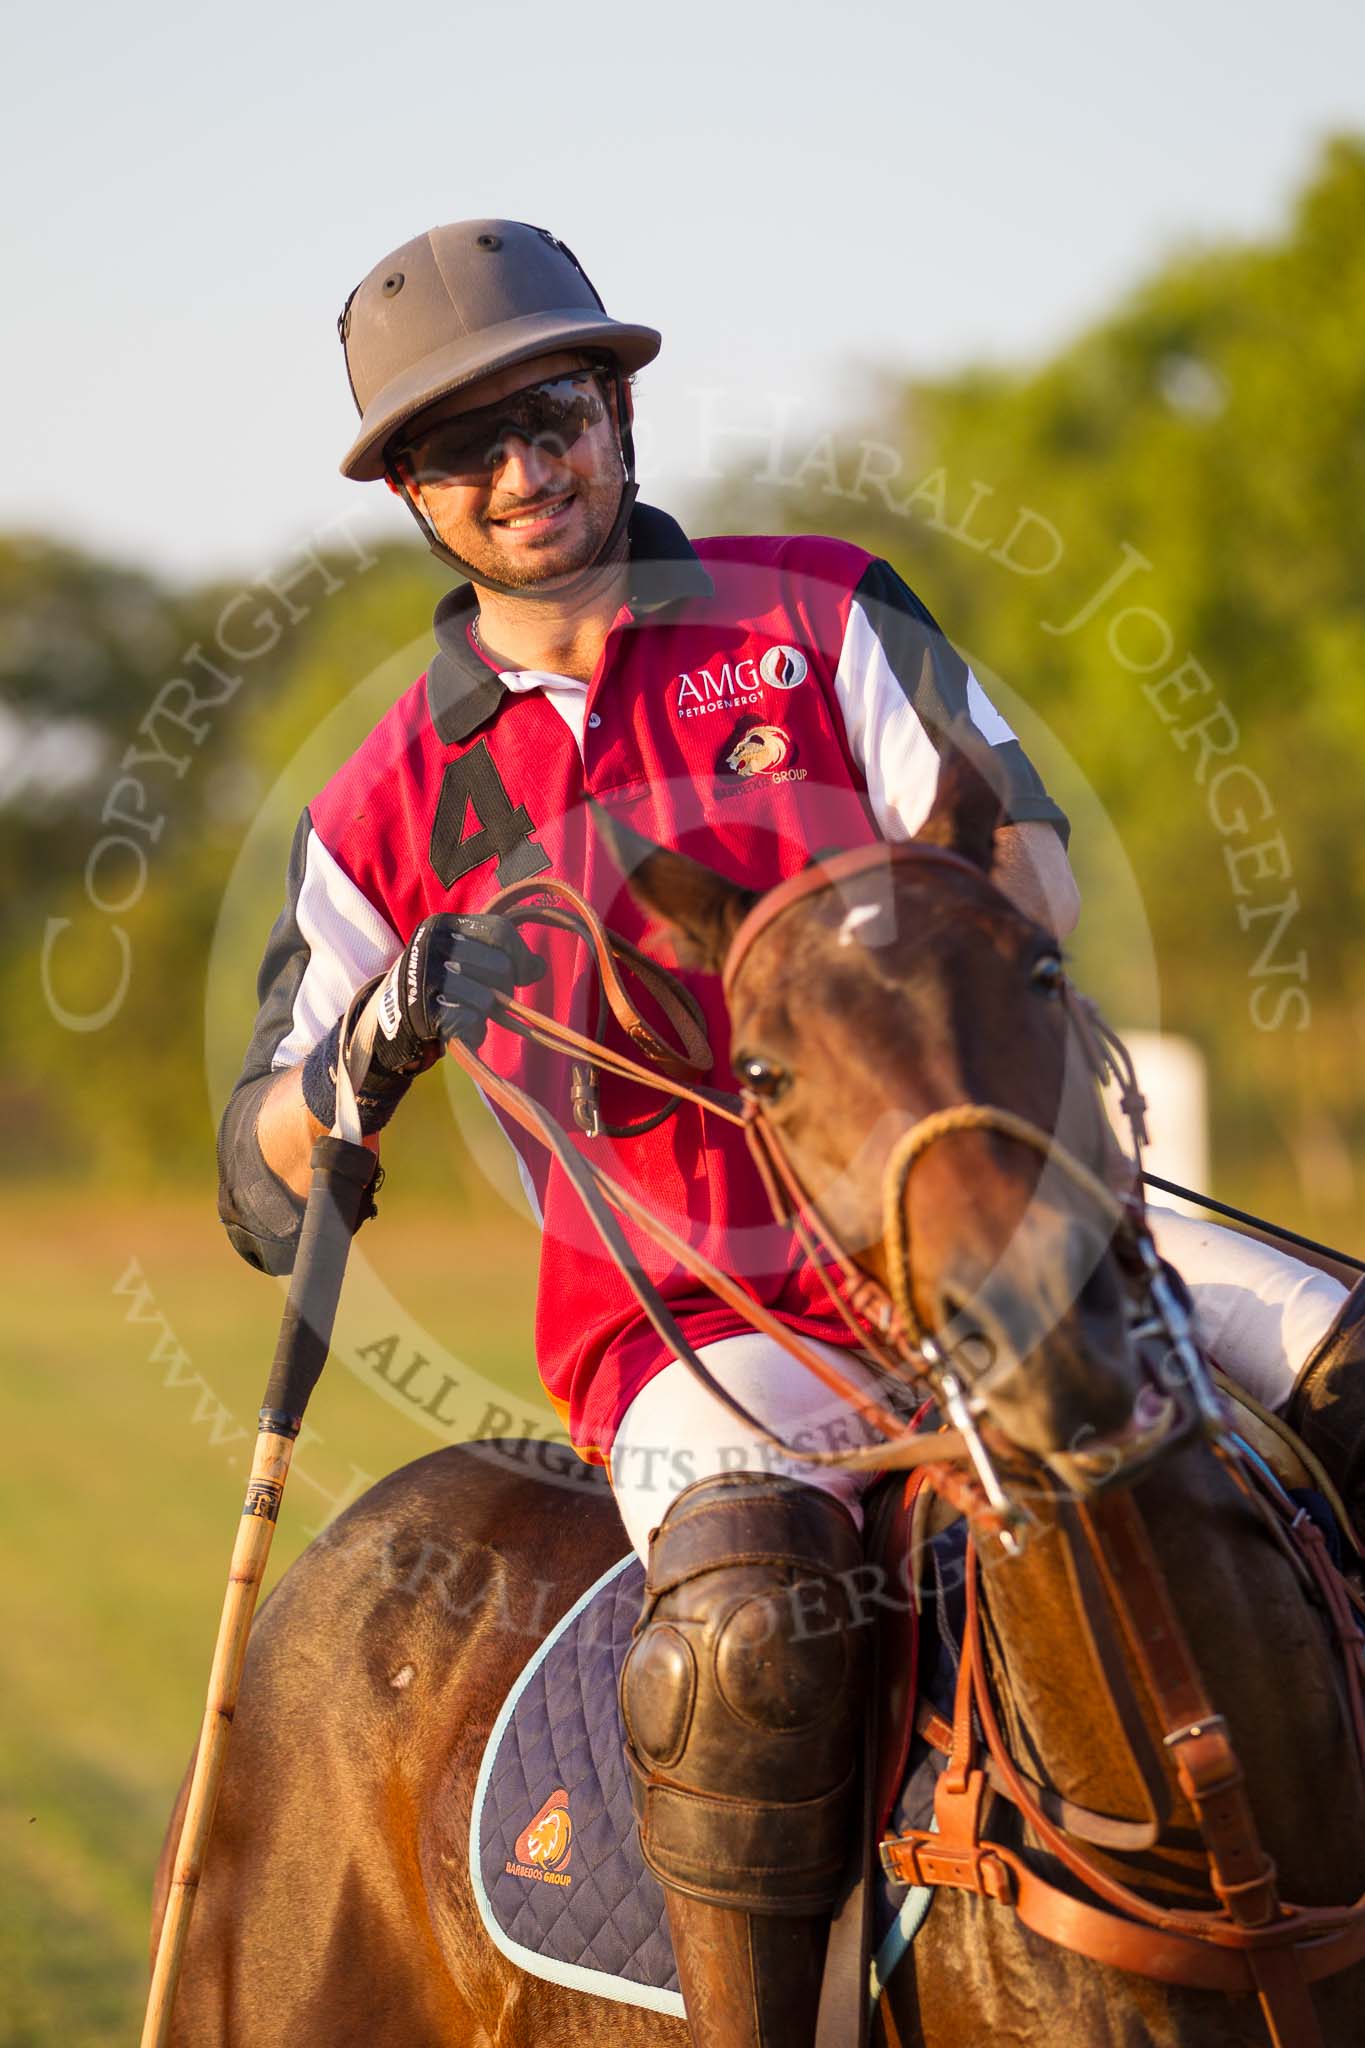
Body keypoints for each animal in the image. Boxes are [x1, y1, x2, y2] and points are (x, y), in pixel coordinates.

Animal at [154, 770, 1365, 2048]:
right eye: (765, 1071)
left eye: (1041, 968)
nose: (1044, 1324)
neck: (1216, 1837)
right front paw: (398, 1004)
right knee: (740, 1636)